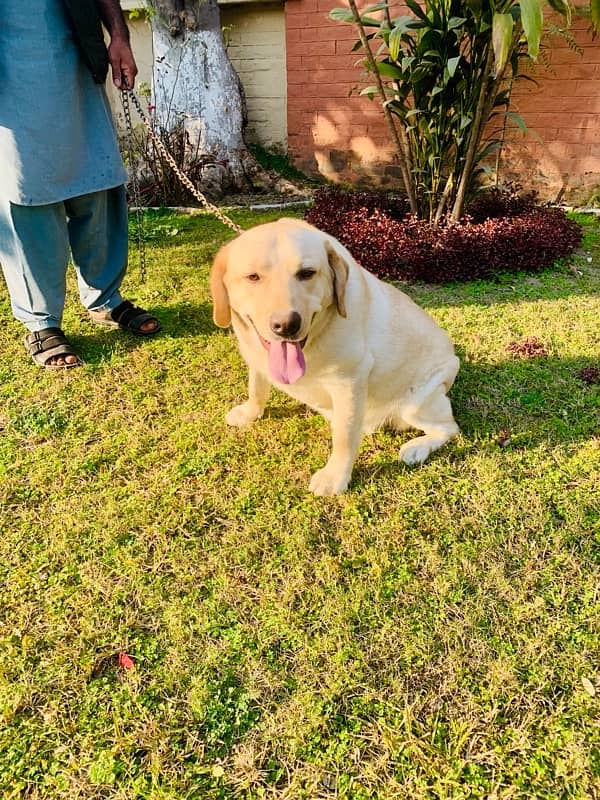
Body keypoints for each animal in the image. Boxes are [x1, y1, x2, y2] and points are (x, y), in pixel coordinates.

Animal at [211, 219, 460, 494]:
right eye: (253, 277)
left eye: (307, 273)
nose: (286, 325)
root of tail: (453, 358)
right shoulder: (257, 360)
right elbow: (256, 388)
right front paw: (249, 413)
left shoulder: (348, 382)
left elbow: (344, 436)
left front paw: (335, 477)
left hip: (417, 403)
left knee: (450, 427)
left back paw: (417, 448)